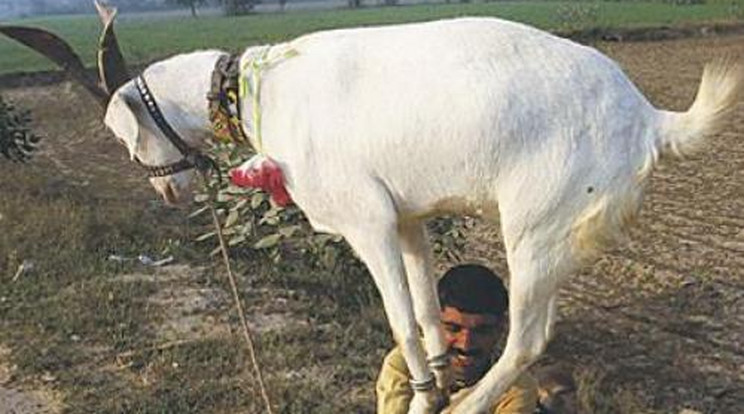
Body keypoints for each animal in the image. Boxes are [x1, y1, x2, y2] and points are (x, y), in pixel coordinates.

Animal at [2, 13, 740, 414]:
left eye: (128, 139)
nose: (168, 193)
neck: (258, 89)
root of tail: (649, 119)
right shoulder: (409, 220)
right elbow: (427, 315)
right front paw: (432, 383)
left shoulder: (367, 223)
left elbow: (400, 320)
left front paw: (429, 391)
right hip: (551, 234)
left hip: (538, 224)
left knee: (529, 338)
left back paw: (473, 400)